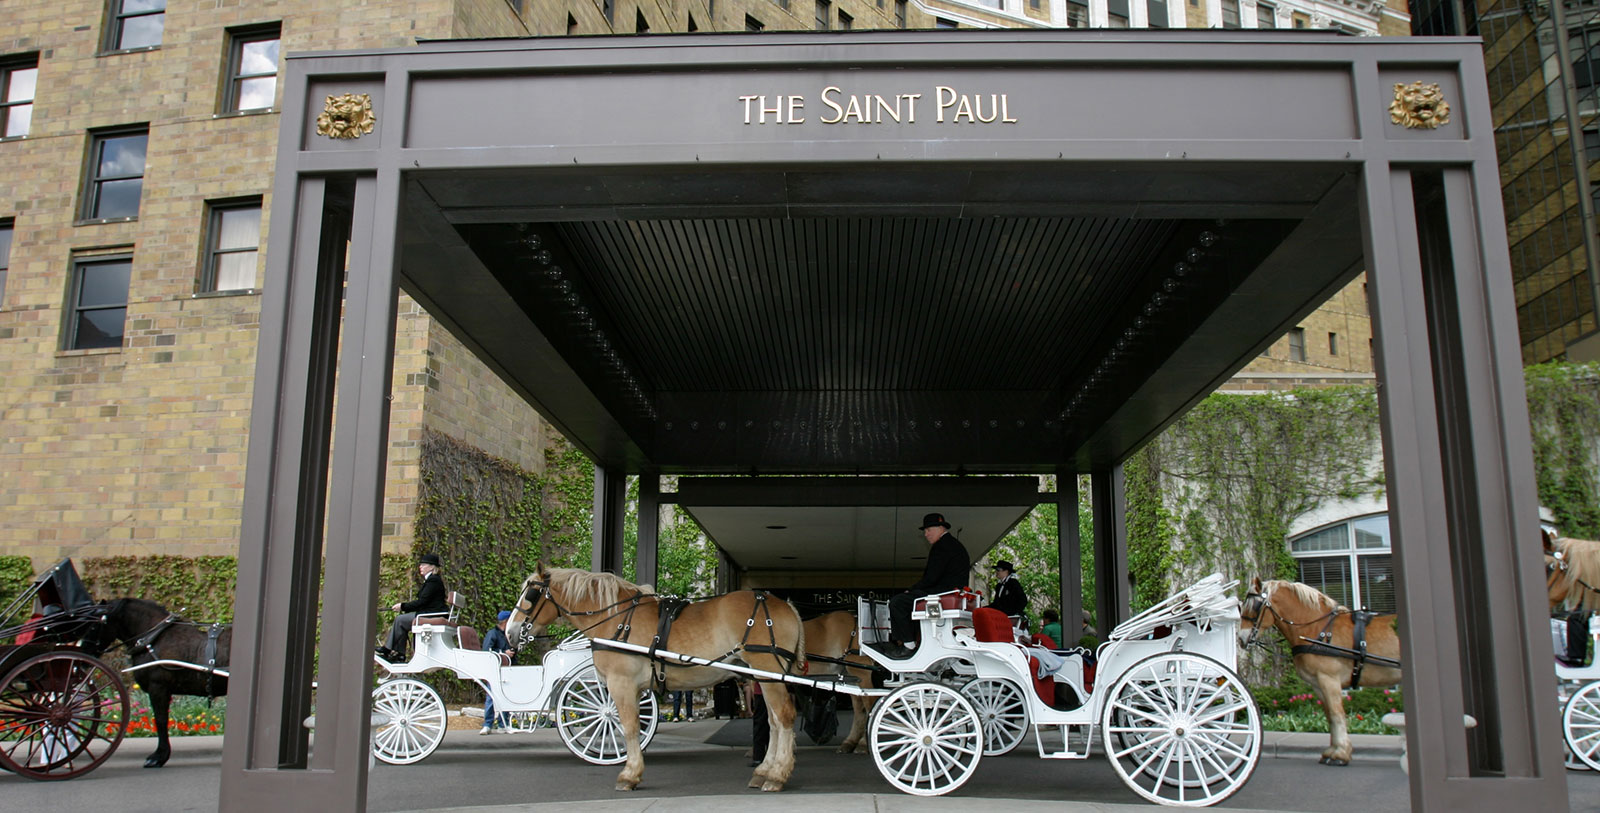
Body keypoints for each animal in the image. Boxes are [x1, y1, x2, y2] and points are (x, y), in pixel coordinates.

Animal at [512, 569, 806, 790]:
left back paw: (777, 775)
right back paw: (765, 770)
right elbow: (630, 727)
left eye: (530, 594)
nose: (511, 632)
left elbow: (627, 726)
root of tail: (786, 606)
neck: (616, 618)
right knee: (774, 721)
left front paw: (630, 774)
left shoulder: (621, 684)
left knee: (784, 717)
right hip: (764, 677)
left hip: (767, 672)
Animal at [806, 611, 883, 752]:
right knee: (859, 708)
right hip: (851, 676)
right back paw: (850, 742)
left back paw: (864, 743)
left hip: (861, 673)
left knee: (869, 704)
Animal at [1235, 576, 1401, 764]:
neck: (1317, 629)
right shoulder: (1318, 683)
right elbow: (1329, 715)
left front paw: (1341, 753)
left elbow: (1337, 714)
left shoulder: (1329, 679)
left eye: (1254, 606)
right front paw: (1333, 750)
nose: (1241, 638)